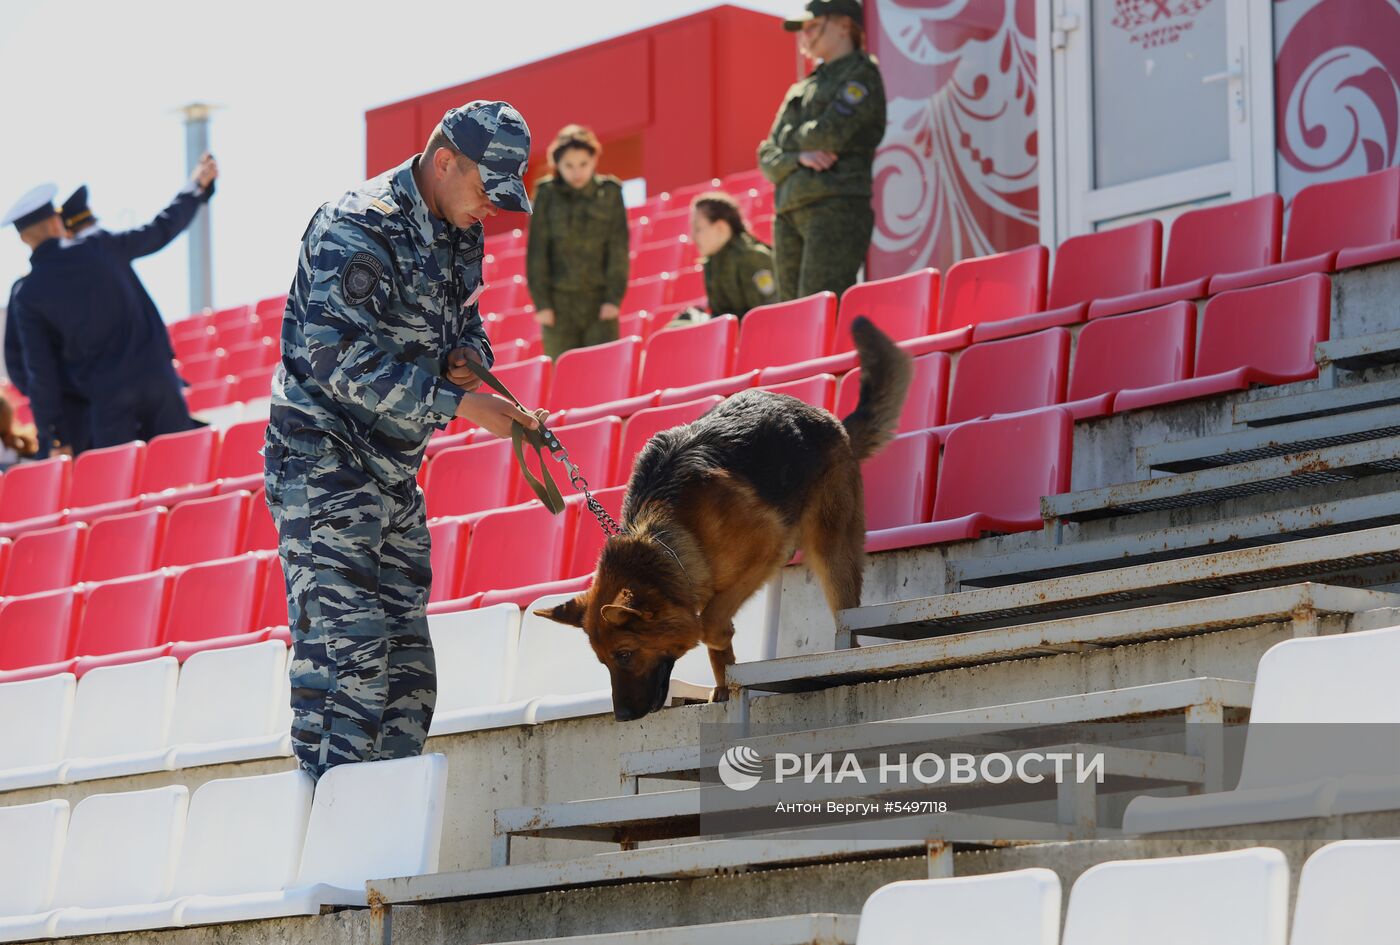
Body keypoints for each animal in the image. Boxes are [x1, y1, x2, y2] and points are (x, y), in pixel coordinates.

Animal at [532, 317, 907, 722]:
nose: (623, 718)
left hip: (831, 551)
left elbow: (709, 623)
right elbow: (715, 646)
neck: (667, 536)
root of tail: (831, 421)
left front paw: (718, 643)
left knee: (846, 617)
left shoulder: (767, 548)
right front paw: (725, 688)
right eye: (604, 662)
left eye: (625, 654)